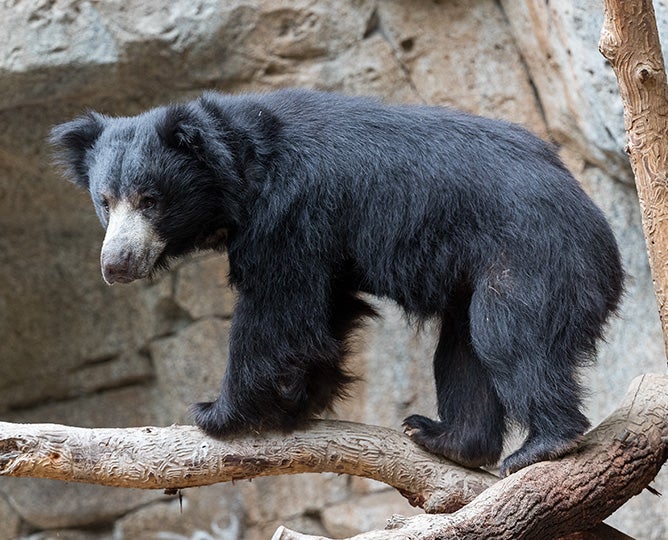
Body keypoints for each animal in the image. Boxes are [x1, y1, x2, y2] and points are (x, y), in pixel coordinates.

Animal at [50, 89, 623, 476]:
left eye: (150, 200)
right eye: (105, 201)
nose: (116, 265)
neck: (240, 167)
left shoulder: (290, 211)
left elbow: (277, 311)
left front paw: (218, 413)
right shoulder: (320, 241)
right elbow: (322, 312)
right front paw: (298, 404)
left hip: (530, 258)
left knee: (508, 337)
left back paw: (544, 444)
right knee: (464, 350)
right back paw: (445, 438)